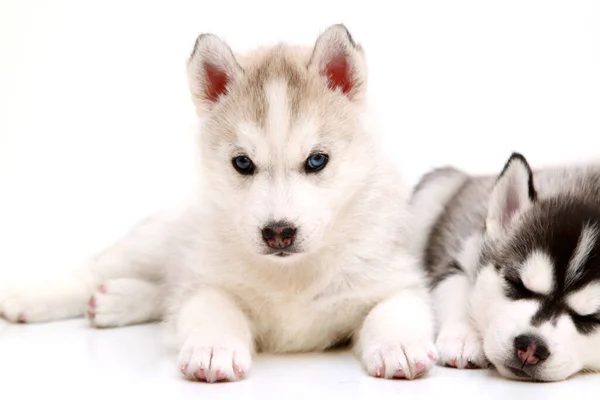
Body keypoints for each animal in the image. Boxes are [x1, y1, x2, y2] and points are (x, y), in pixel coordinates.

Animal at [0, 25, 436, 382]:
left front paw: (398, 345)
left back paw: (115, 301)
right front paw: (214, 350)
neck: (291, 275)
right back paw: (28, 298)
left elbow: (391, 310)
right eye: (242, 163)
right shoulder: (210, 284)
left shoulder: (396, 280)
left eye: (316, 160)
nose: (278, 232)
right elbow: (213, 310)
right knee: (95, 272)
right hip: (156, 242)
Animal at [410, 153, 600, 382]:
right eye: (517, 284)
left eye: (590, 318)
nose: (530, 347)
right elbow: (455, 287)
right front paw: (463, 336)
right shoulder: (465, 253)